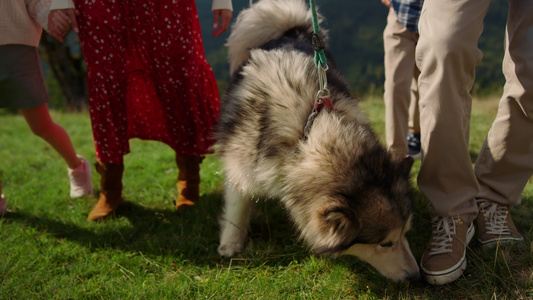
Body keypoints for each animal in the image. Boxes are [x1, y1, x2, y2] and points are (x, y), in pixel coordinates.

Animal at [214, 0, 418, 282]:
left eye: (406, 233)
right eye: (385, 243)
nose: (416, 276)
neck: (305, 134)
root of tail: (292, 31)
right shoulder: (241, 163)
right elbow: (237, 207)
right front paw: (231, 243)